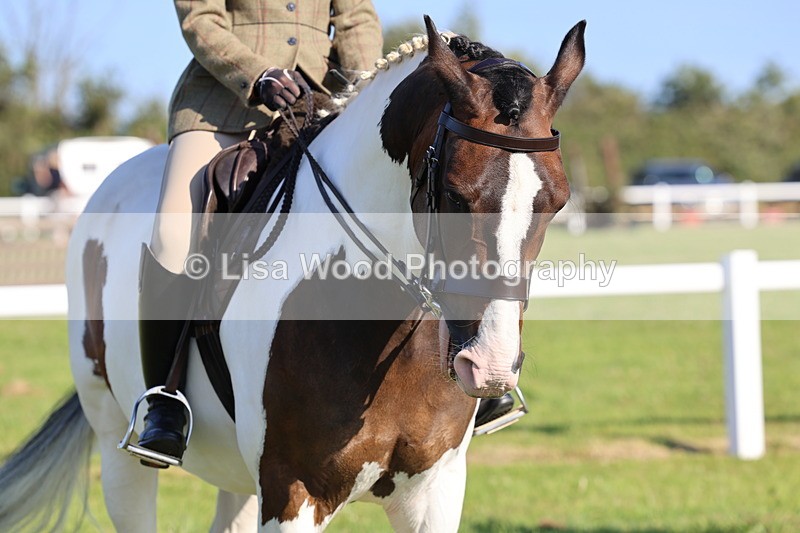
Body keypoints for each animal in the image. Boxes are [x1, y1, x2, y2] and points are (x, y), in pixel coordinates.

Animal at [0, 16, 585, 532]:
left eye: (556, 202)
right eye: (456, 196)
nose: (490, 367)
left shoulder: (435, 492)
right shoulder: (292, 491)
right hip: (117, 443)